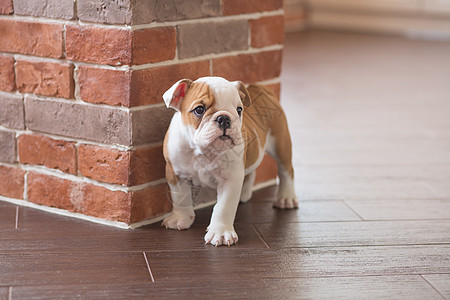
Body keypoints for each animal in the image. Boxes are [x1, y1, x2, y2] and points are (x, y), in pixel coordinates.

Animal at [163, 75, 298, 246]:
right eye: (199, 110)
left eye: (239, 110)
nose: (224, 118)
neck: (203, 151)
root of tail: (260, 88)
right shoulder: (175, 174)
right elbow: (180, 198)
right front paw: (181, 219)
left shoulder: (230, 179)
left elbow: (224, 207)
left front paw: (220, 233)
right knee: (251, 170)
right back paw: (245, 193)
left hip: (281, 143)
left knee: (286, 170)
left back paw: (286, 198)